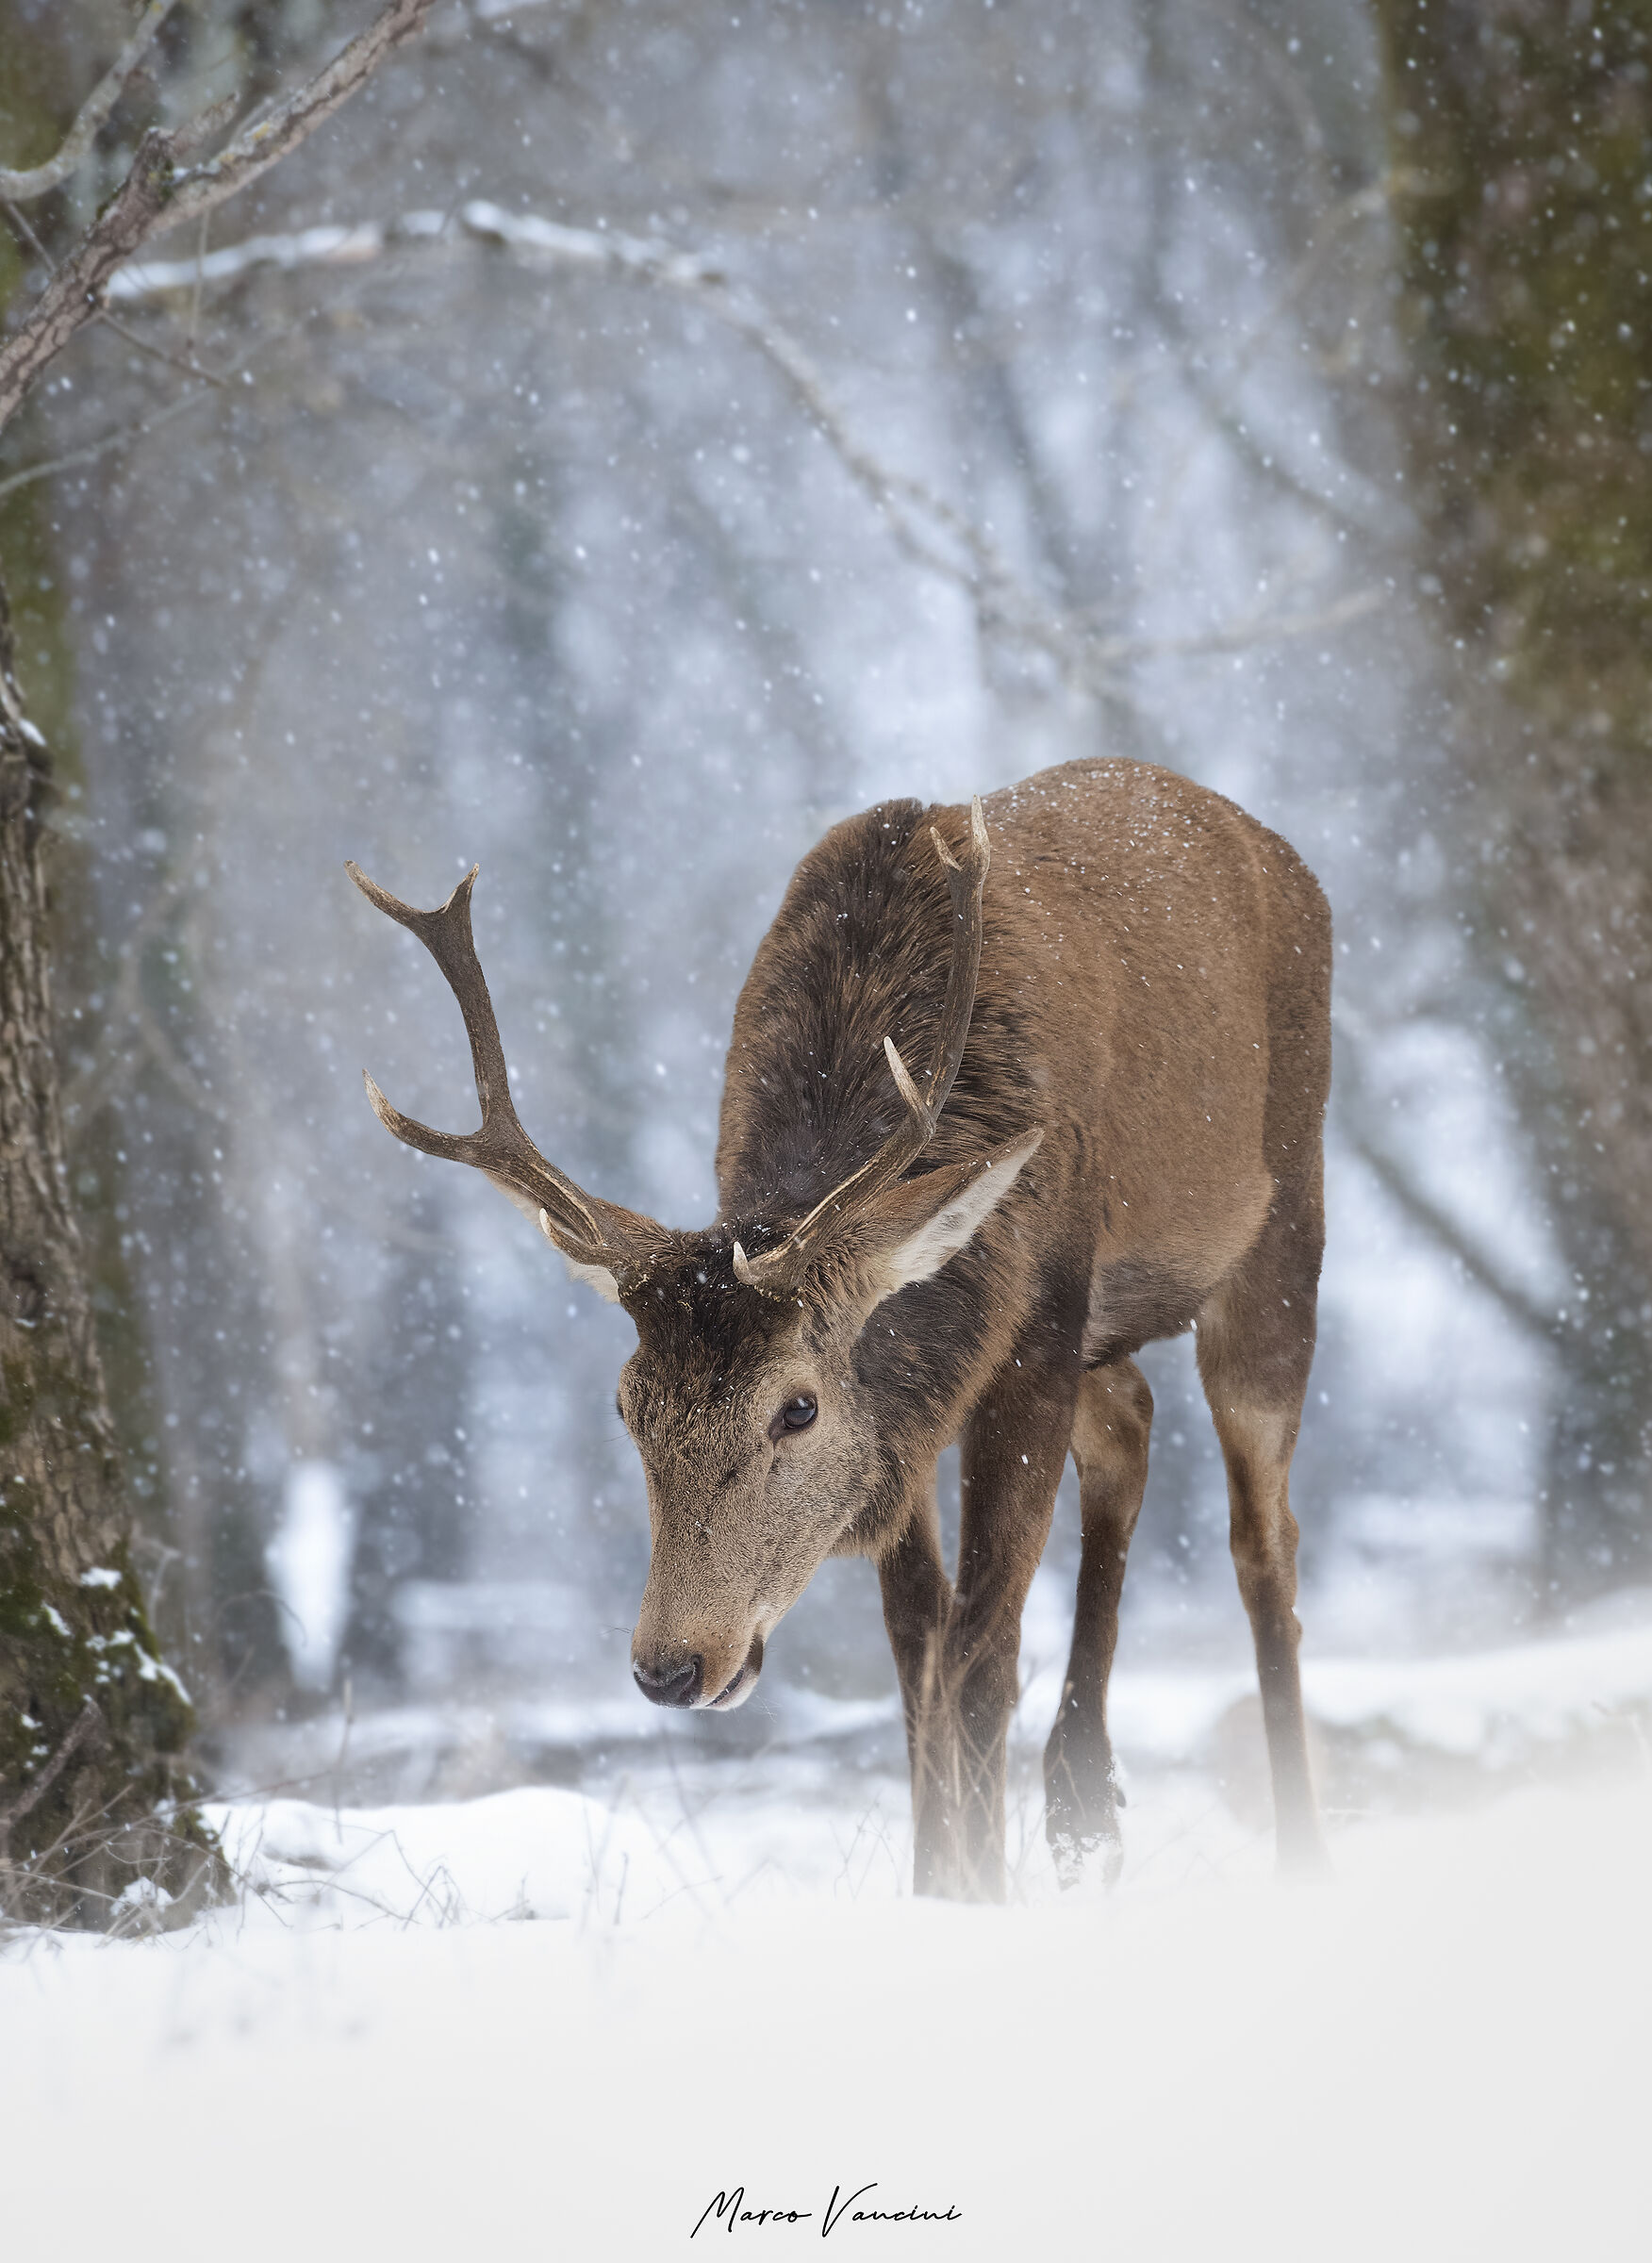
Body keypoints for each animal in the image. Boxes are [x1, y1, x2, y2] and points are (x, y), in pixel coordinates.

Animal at [348, 756, 1331, 1900]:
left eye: (798, 1409)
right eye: (627, 1407)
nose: (670, 1665)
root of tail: (1274, 848)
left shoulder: (1039, 1325)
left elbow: (983, 1648)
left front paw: (984, 1899)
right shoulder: (908, 1424)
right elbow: (917, 1647)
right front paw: (939, 1885)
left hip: (1280, 1226)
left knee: (1263, 1537)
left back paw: (1298, 1854)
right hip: (1113, 1337)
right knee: (1131, 1424)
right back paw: (1085, 1804)